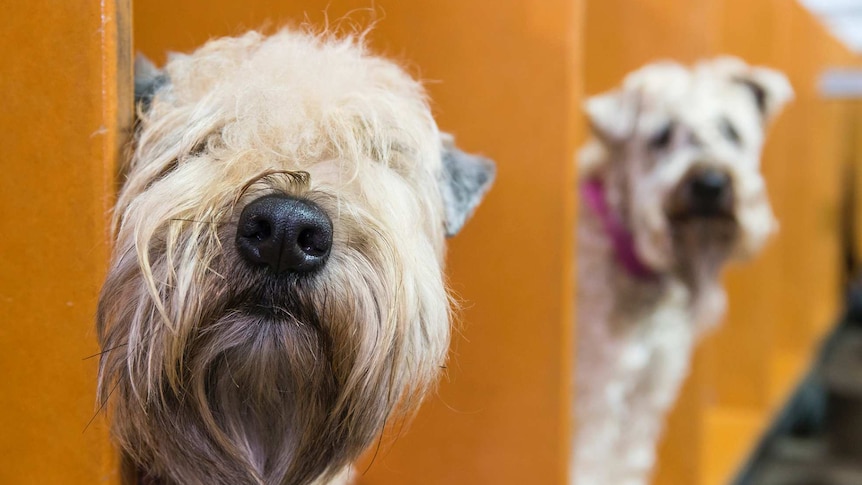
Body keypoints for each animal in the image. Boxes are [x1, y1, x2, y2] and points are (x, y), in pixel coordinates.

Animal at [572, 57, 796, 484]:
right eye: (661, 136)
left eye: (730, 130)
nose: (709, 183)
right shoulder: (597, 387)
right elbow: (591, 462)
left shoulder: (651, 384)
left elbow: (629, 458)